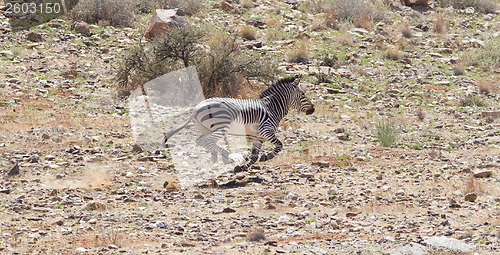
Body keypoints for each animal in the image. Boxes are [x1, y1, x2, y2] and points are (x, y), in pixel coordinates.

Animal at [163, 74, 312, 172]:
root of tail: (197, 108)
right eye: (303, 94)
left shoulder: (258, 136)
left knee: (200, 141)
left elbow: (254, 156)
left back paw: (216, 156)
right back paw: (225, 155)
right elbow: (279, 145)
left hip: (207, 129)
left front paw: (243, 167)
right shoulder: (266, 130)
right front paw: (267, 156)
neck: (271, 107)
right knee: (208, 141)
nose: (313, 109)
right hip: (222, 126)